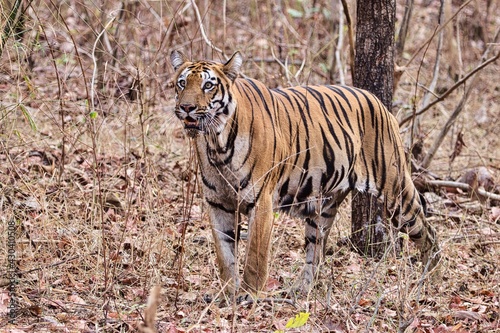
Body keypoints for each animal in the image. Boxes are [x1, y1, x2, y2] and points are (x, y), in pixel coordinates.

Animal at [170, 50, 440, 298]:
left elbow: (255, 257)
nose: (186, 107)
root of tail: (380, 103)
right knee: (316, 252)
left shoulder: (261, 202)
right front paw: (227, 294)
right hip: (323, 207)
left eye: (208, 85)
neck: (215, 143)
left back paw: (429, 278)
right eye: (182, 83)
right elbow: (225, 255)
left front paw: (249, 295)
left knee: (428, 231)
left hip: (396, 192)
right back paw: (301, 289)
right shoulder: (218, 204)